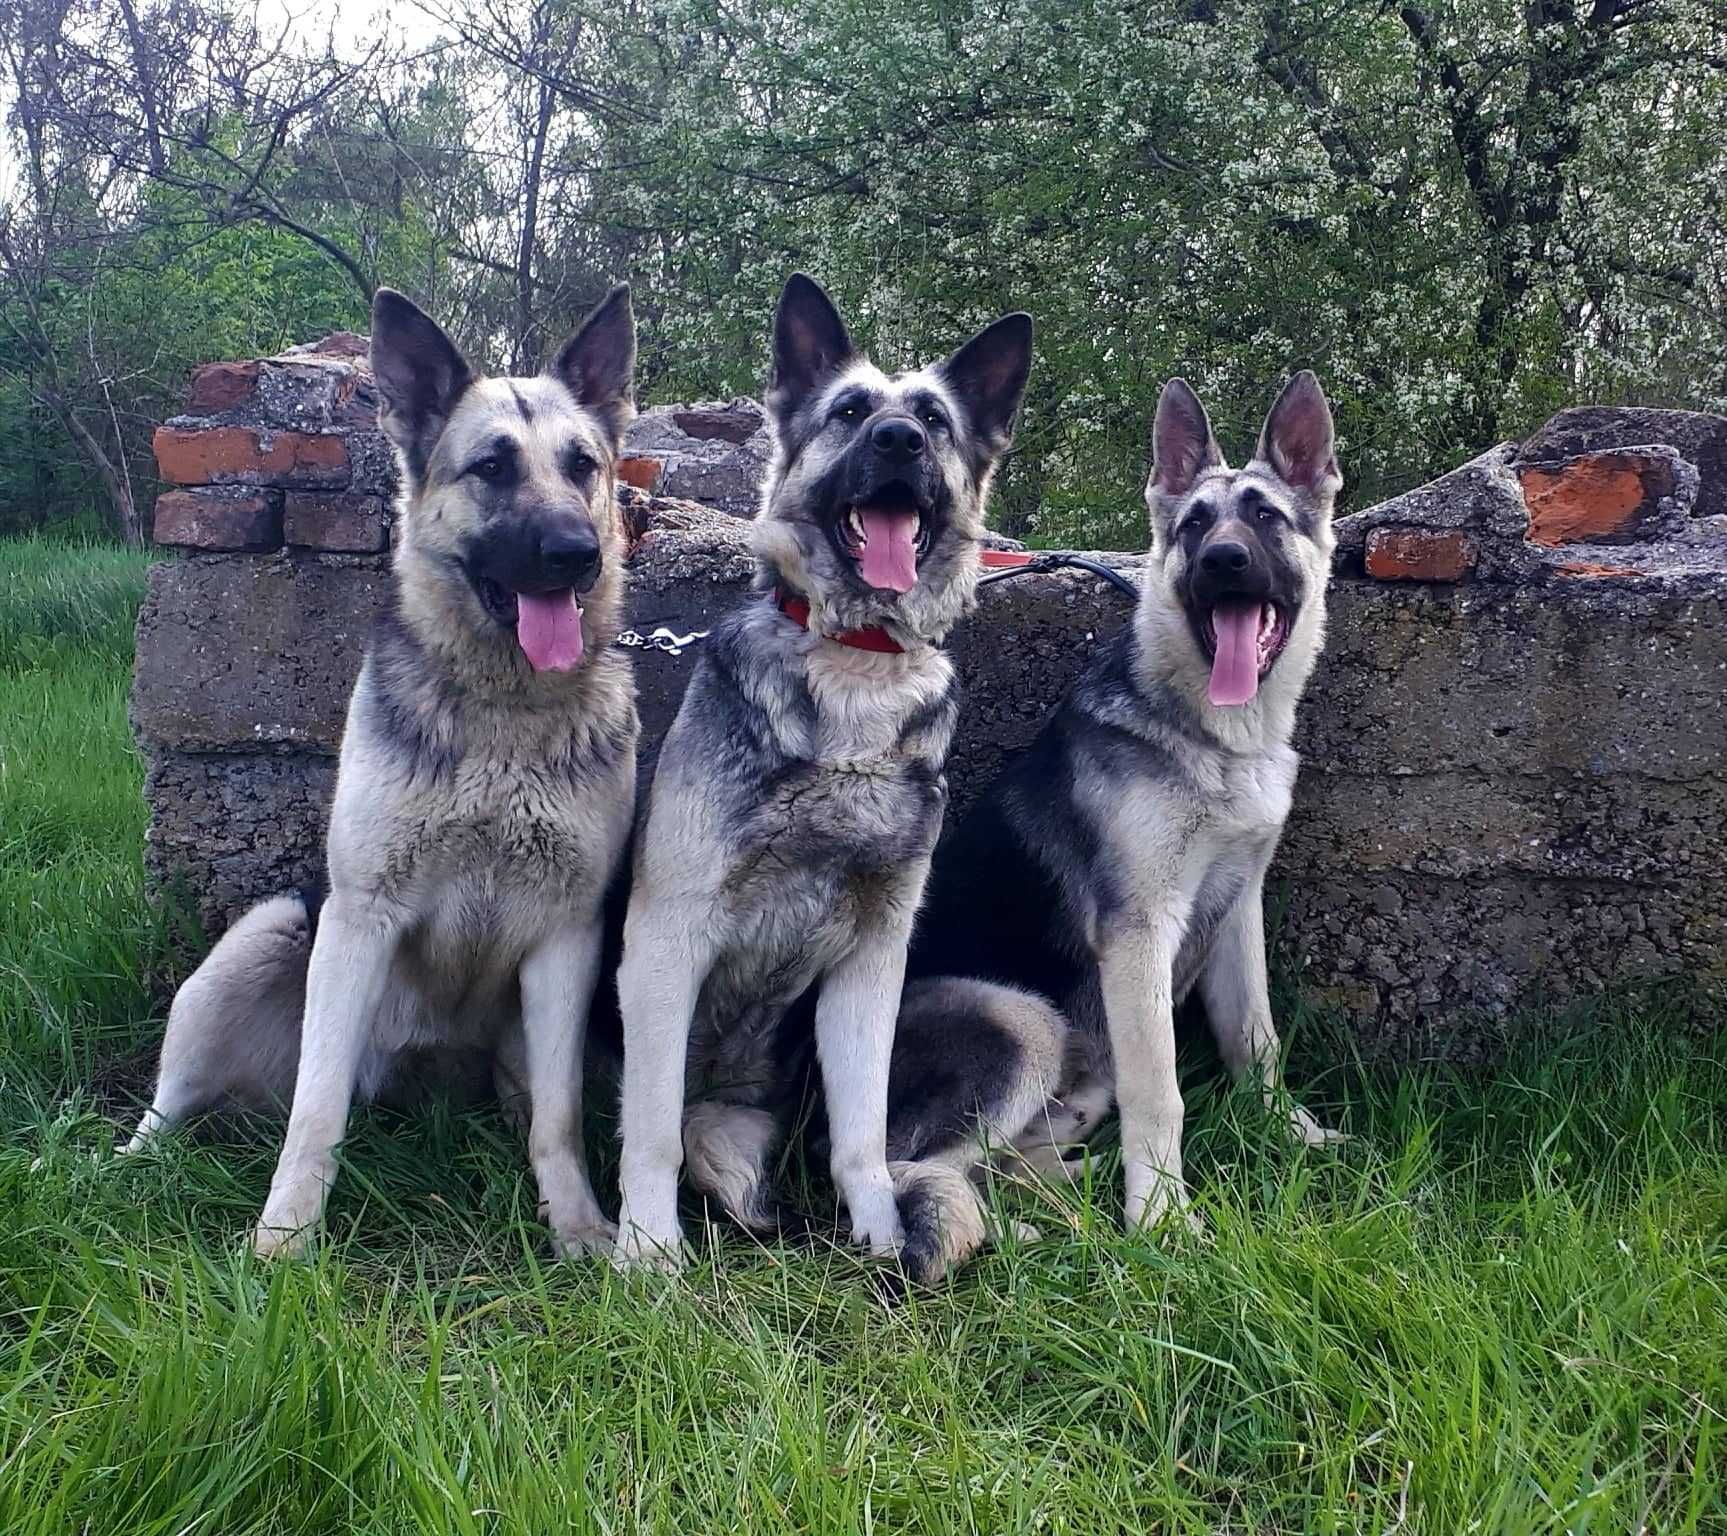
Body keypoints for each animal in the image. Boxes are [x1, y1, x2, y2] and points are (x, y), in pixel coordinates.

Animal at [123, 278, 642, 1257]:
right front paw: (285, 1240)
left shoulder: (565, 942)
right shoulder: (359, 921)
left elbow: (558, 1120)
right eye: (492, 468)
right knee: (169, 1108)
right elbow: (315, 1110)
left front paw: (578, 1225)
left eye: (582, 466)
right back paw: (117, 1167)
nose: (575, 555)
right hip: (270, 933)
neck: (499, 716)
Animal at [611, 276, 1029, 1271]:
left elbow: (863, 1131)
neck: (855, 667)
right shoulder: (664, 944)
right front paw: (646, 1253)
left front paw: (876, 1228)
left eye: (933, 419)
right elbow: (648, 1128)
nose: (899, 440)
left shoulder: (873, 960)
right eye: (849, 412)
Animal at [884, 368, 1353, 1271]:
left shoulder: (1236, 913)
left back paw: (1069, 1192)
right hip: (1023, 1022)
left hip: (1076, 1081)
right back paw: (1020, 1232)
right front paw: (1163, 1219)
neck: (1214, 737)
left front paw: (1290, 1133)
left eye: (1266, 519)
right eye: (1195, 525)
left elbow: (1256, 1039)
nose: (1222, 562)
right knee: (900, 1168)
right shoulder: (1139, 936)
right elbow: (1161, 1091)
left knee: (1005, 1160)